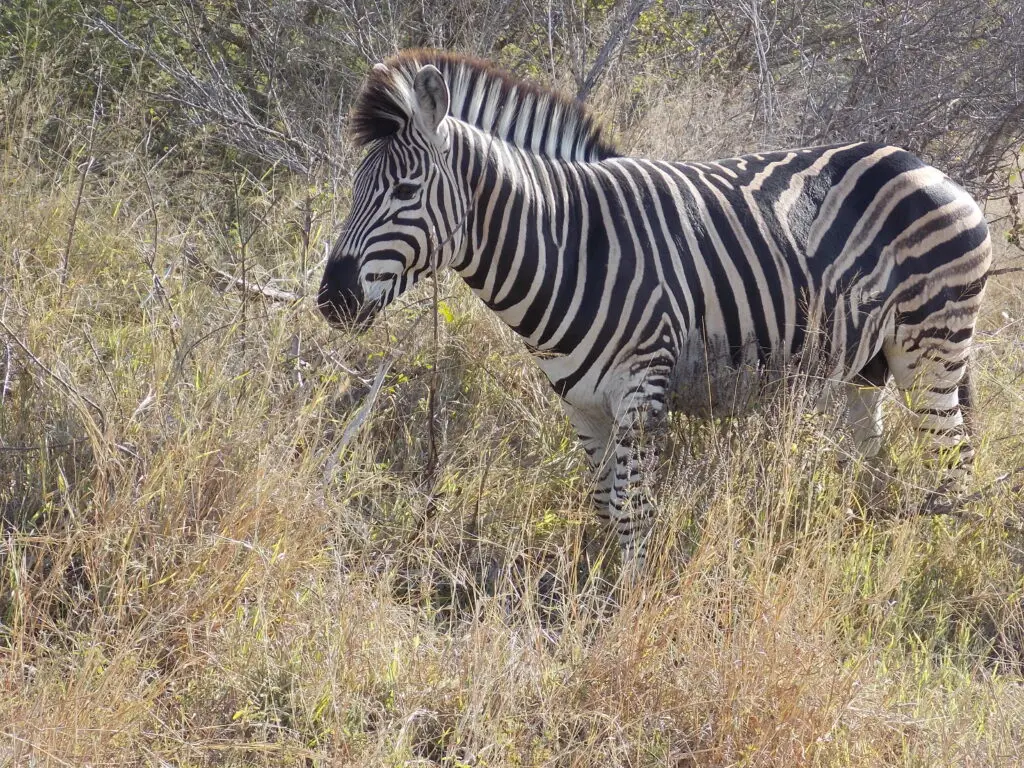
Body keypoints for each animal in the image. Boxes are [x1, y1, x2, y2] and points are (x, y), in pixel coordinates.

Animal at [318, 50, 992, 574]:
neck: (570, 246)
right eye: (354, 189)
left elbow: (634, 507)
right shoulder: (580, 402)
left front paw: (633, 607)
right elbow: (602, 501)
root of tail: (922, 163)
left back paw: (934, 557)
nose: (332, 300)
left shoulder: (643, 389)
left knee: (952, 457)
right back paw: (865, 539)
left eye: (406, 192)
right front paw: (597, 583)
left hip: (931, 350)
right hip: (866, 363)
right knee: (875, 456)